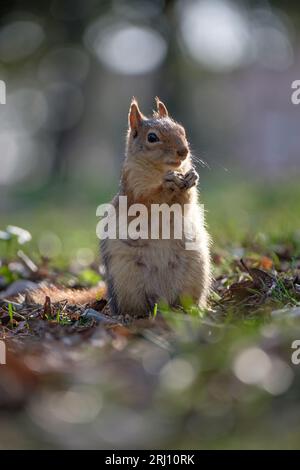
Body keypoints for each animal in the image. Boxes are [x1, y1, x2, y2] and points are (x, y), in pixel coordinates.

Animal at [27, 96, 211, 316]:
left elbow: (186, 201)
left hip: (195, 273)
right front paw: (167, 183)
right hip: (127, 280)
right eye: (152, 137)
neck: (160, 171)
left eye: (182, 130)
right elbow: (147, 200)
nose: (183, 151)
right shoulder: (132, 191)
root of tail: (163, 301)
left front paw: (191, 177)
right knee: (132, 306)